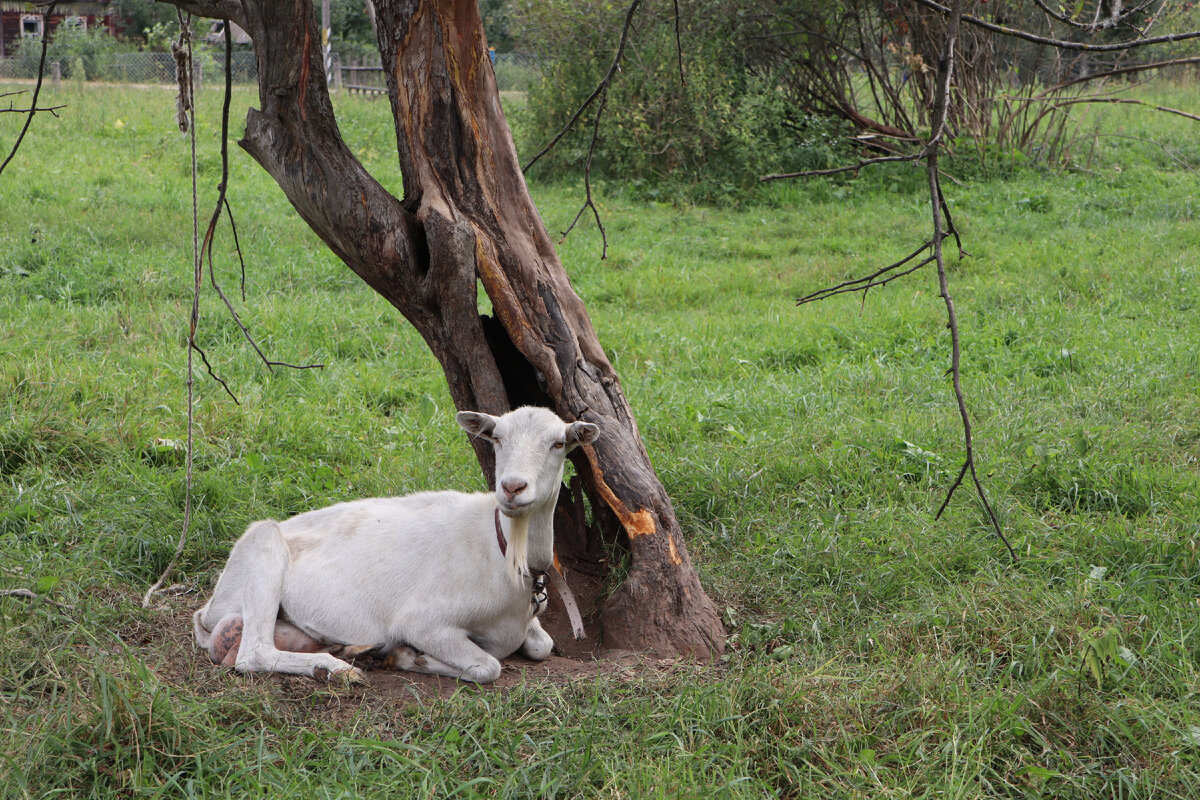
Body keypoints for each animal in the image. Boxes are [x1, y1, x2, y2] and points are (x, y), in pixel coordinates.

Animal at [192, 407, 600, 681]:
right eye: (496, 438)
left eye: (559, 443)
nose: (513, 487)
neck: (503, 553)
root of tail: (209, 608)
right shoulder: (424, 621)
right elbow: (488, 666)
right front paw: (411, 658)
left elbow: (541, 645)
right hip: (263, 547)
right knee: (254, 654)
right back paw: (334, 669)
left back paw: (351, 651)